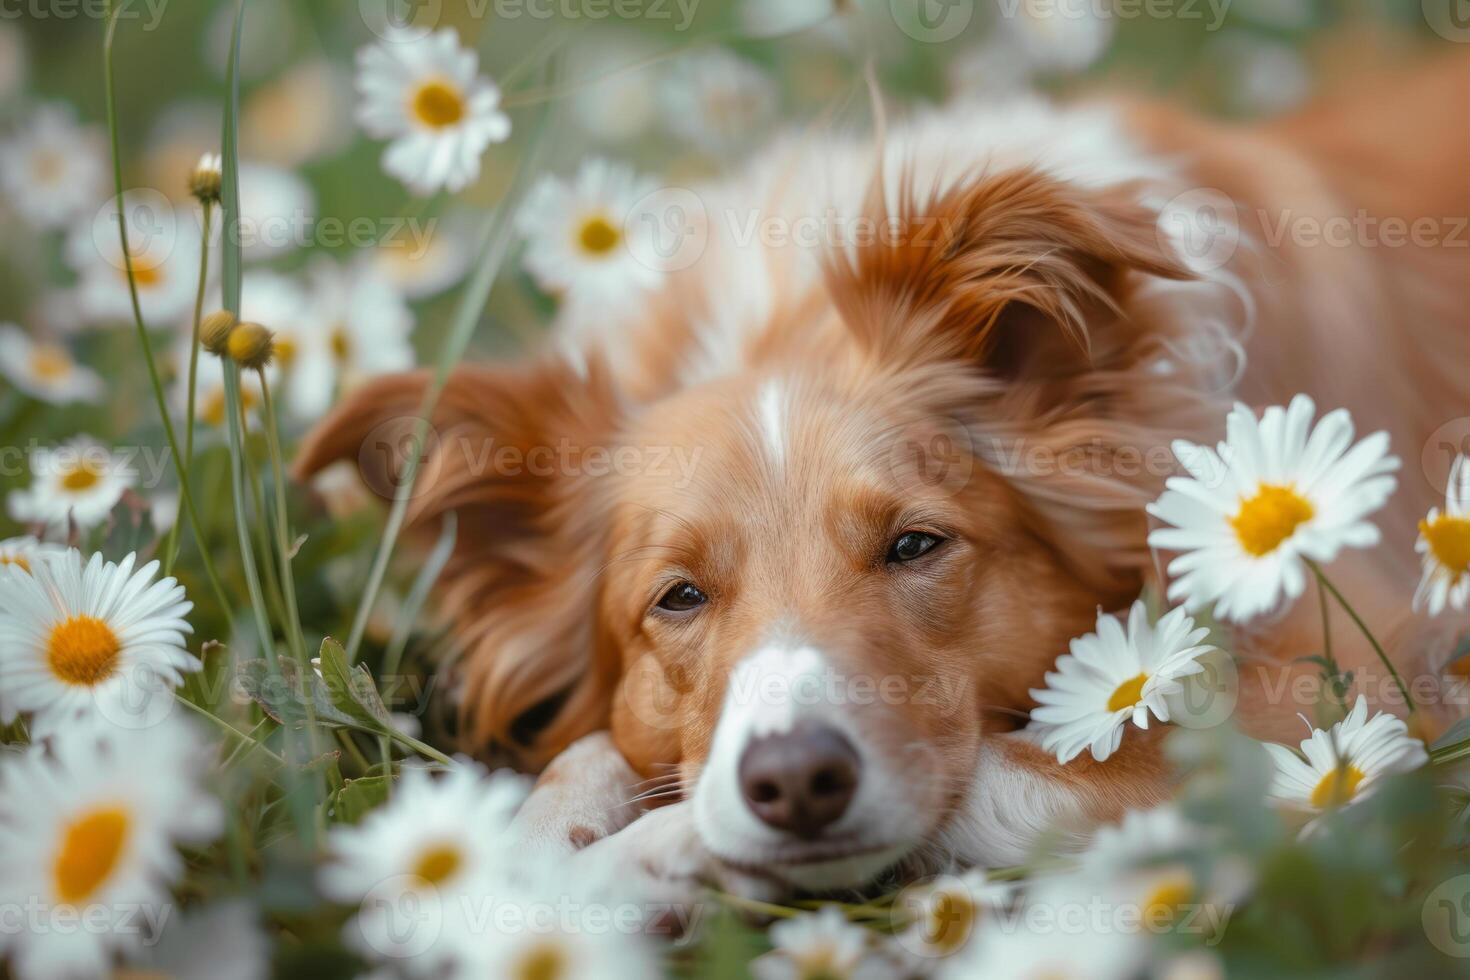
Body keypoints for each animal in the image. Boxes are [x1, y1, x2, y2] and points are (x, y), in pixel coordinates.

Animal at [292, 57, 1470, 905]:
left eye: (915, 544)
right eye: (677, 597)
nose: (795, 782)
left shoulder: (1348, 679)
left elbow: (1015, 770)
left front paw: (639, 857)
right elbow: (587, 748)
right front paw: (523, 861)